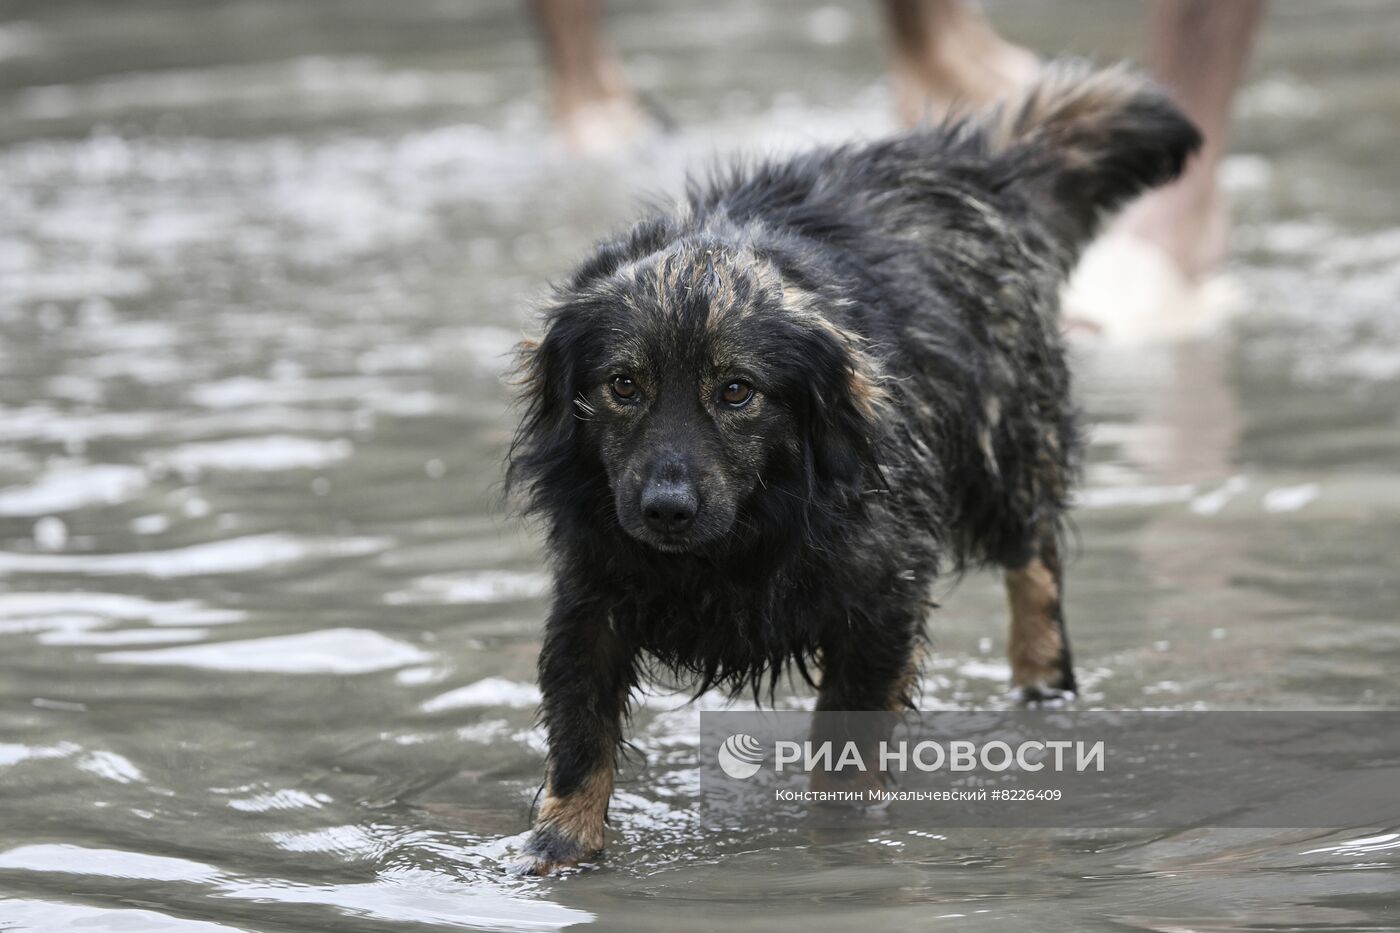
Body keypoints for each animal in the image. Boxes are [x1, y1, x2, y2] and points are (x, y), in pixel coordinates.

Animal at [509, 65, 1198, 874]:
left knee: (1036, 560)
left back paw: (1043, 679)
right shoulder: (591, 595)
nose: (666, 508)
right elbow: (580, 737)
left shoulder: (880, 600)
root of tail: (973, 166)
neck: (736, 542)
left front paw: (842, 846)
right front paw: (561, 846)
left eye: (736, 390)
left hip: (1004, 458)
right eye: (623, 385)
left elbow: (845, 744)